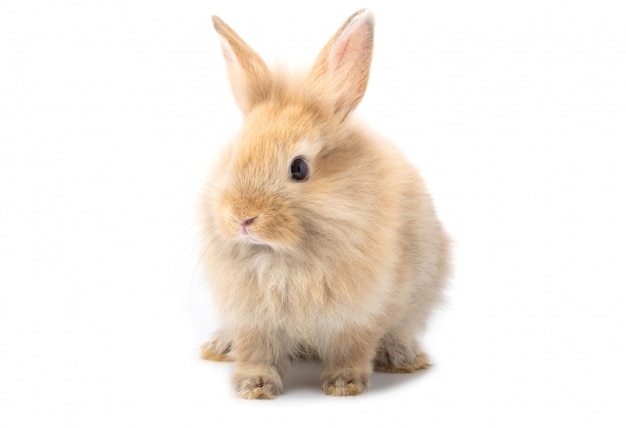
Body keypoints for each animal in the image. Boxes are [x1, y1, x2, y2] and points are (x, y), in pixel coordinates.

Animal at [197, 8, 446, 400]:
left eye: (298, 168)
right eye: (234, 157)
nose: (242, 218)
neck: (283, 257)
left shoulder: (359, 314)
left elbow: (352, 349)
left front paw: (344, 384)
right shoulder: (253, 318)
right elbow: (256, 352)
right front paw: (255, 386)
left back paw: (401, 356)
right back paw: (220, 347)